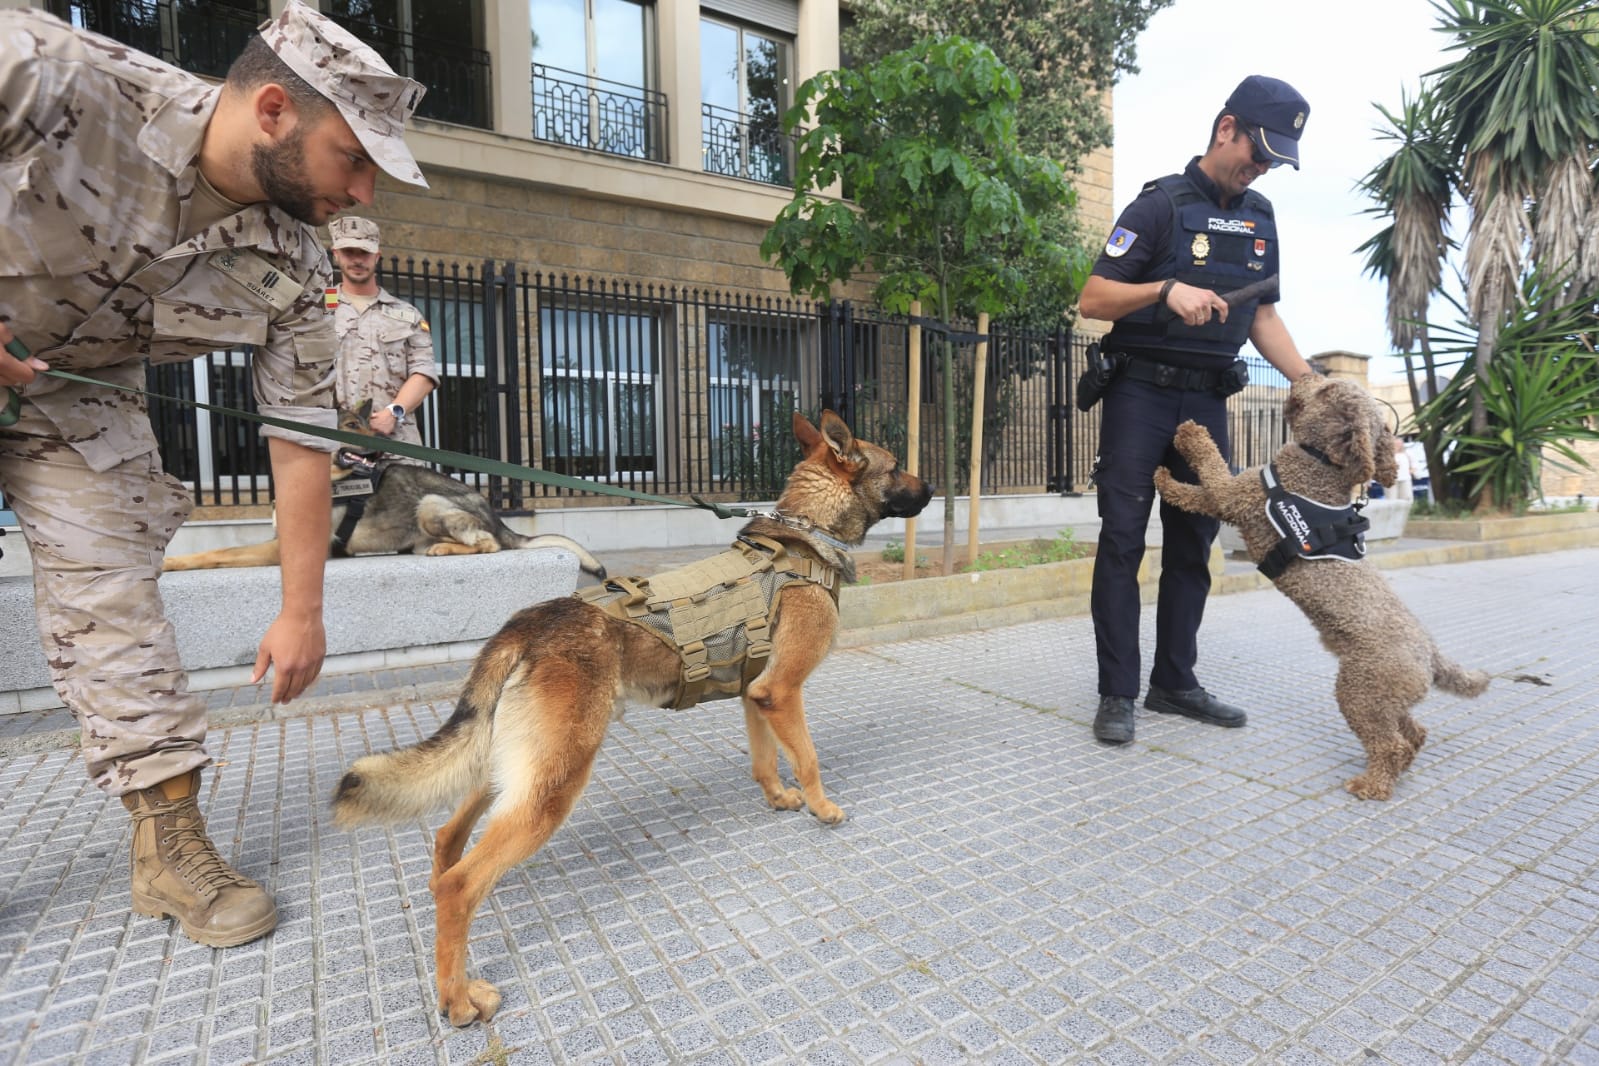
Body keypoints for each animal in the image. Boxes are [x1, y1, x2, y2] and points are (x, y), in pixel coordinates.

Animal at [162, 402, 601, 578]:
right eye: (350, 426)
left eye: (363, 423)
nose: (381, 444)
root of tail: (496, 515)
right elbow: (219, 550)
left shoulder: (282, 549)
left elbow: (217, 552)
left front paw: (170, 562)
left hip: (431, 503)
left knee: (488, 544)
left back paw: (448, 549)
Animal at [330, 412, 933, 1022]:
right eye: (896, 466)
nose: (932, 487)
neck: (803, 537)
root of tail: (528, 624)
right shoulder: (783, 691)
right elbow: (806, 758)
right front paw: (822, 808)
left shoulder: (756, 694)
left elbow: (766, 759)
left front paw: (779, 799)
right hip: (554, 785)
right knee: (461, 886)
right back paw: (456, 999)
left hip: (511, 770)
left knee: (447, 844)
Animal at [1151, 375, 1483, 799]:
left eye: (1327, 390)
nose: (1303, 375)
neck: (1320, 466)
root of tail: (1431, 654)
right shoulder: (1235, 498)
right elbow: (1196, 494)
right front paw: (1167, 475)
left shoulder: (1236, 496)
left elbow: (1208, 473)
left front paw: (1188, 441)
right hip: (1385, 698)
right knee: (1414, 733)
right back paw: (1395, 771)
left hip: (1360, 691)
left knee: (1391, 743)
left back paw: (1371, 785)